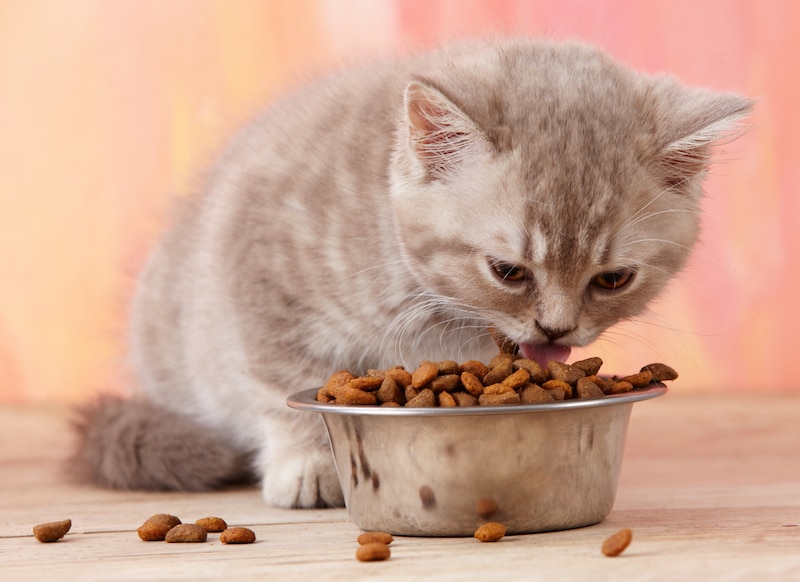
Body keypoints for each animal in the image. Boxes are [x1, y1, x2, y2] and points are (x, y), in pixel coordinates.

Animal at [69, 38, 752, 508]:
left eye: (612, 280)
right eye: (508, 270)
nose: (556, 331)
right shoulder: (257, 259)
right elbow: (279, 375)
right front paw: (309, 461)